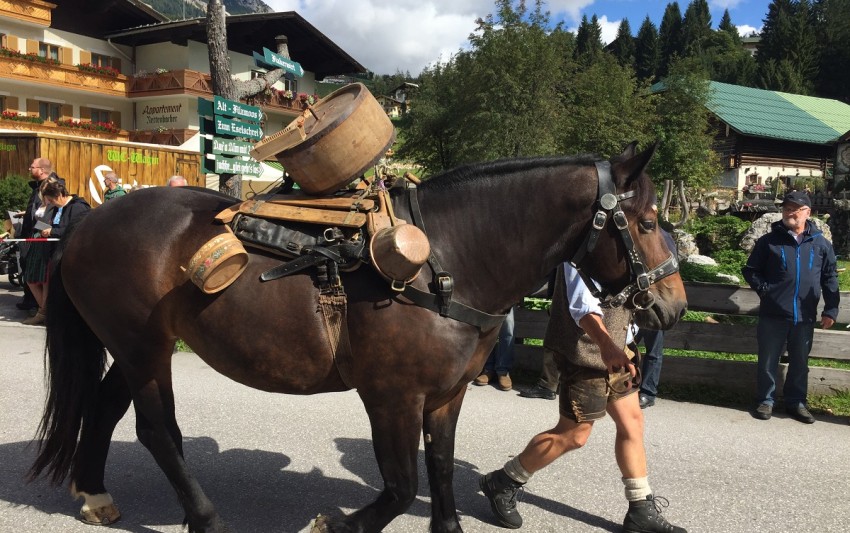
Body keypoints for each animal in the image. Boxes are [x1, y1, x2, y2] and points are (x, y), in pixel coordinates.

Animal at [29, 142, 684, 532]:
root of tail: (90, 223)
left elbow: (439, 470)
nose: (673, 305)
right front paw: (340, 524)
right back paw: (204, 516)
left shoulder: (446, 396)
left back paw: (93, 492)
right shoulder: (392, 397)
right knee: (157, 431)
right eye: (649, 221)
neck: (444, 261)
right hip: (142, 349)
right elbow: (399, 486)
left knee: (104, 409)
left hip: (141, 346)